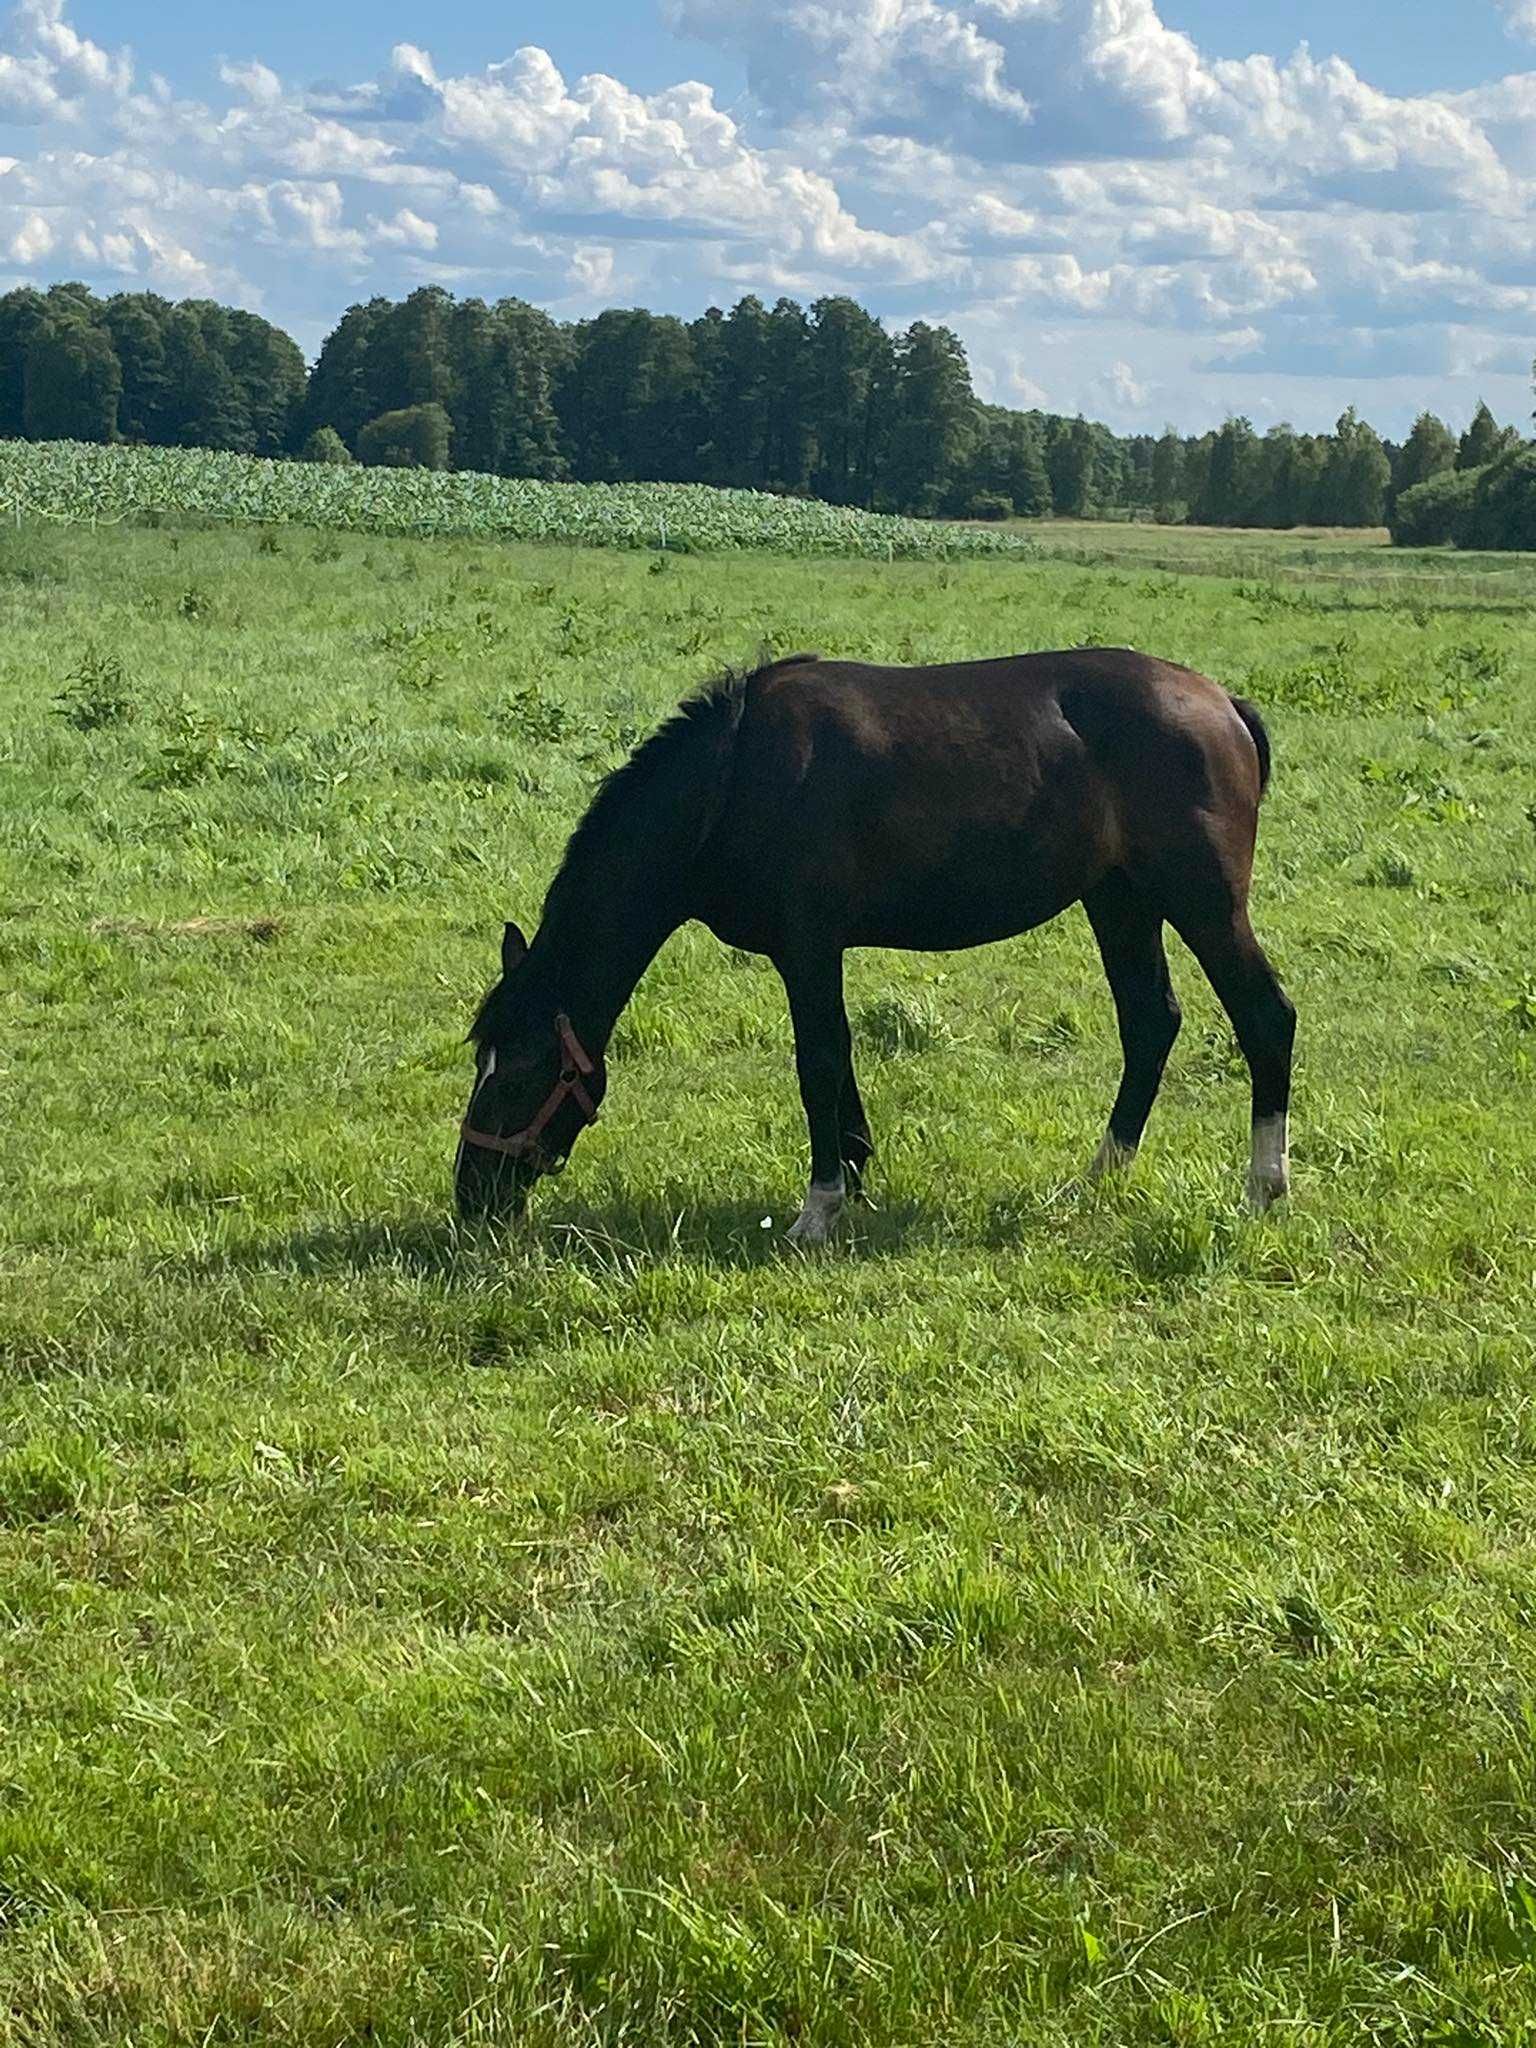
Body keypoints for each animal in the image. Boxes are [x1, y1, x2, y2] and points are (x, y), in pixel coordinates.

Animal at [460, 647, 1302, 1236]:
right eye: (481, 1063)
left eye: (519, 1074)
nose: (471, 1198)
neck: (735, 779)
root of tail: (1223, 703)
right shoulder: (814, 950)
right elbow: (842, 1063)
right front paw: (857, 1181)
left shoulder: (806, 946)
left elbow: (818, 1065)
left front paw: (818, 1208)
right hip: (1120, 900)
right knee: (1150, 1023)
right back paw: (1101, 1178)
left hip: (1201, 903)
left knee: (1265, 1017)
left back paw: (1264, 1188)